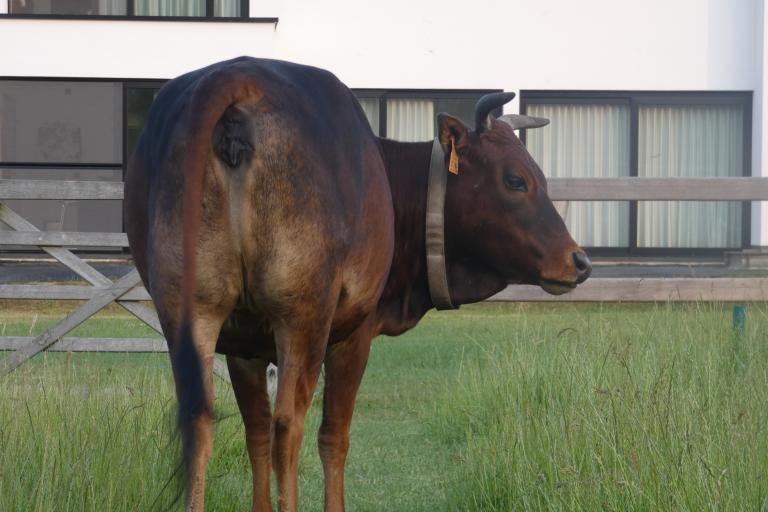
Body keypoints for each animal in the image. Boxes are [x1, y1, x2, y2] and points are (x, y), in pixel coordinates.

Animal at [126, 56, 592, 512]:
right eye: (515, 180)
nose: (579, 261)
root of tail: (236, 77)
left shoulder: (244, 347)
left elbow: (254, 434)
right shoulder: (353, 336)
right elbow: (334, 438)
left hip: (191, 315)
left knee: (200, 420)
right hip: (304, 318)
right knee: (288, 425)